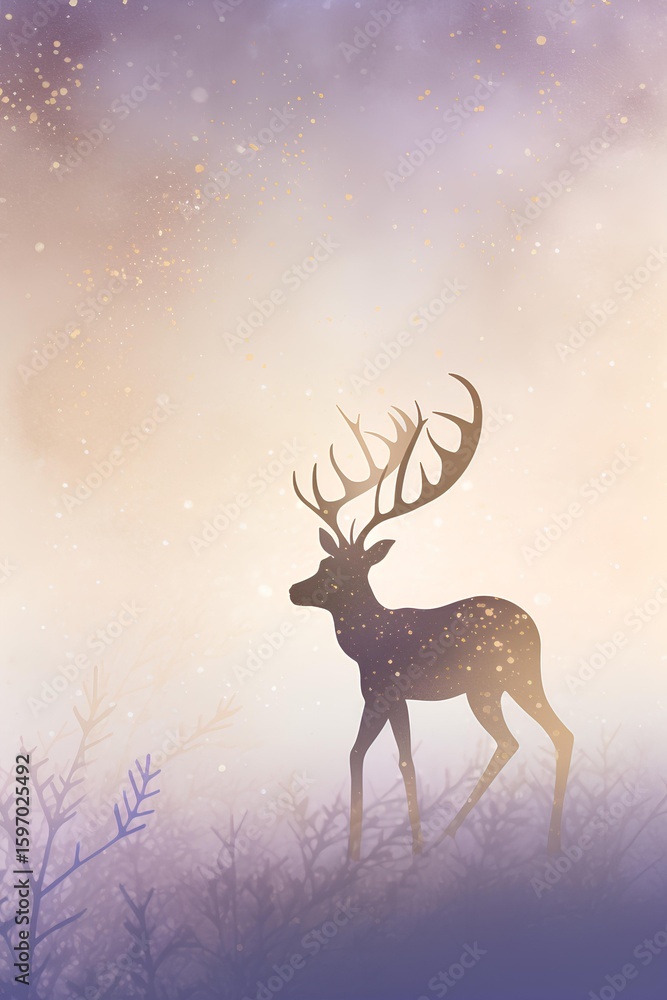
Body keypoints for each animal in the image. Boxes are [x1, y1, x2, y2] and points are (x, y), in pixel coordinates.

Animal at [289, 374, 573, 861]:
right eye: (324, 562)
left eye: (342, 572)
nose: (293, 590)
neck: (366, 644)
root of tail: (533, 625)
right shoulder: (384, 696)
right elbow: (375, 755)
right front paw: (372, 850)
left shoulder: (385, 690)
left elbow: (388, 757)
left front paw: (389, 850)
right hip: (499, 684)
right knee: (528, 737)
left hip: (503, 679)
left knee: (542, 735)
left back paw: (522, 841)